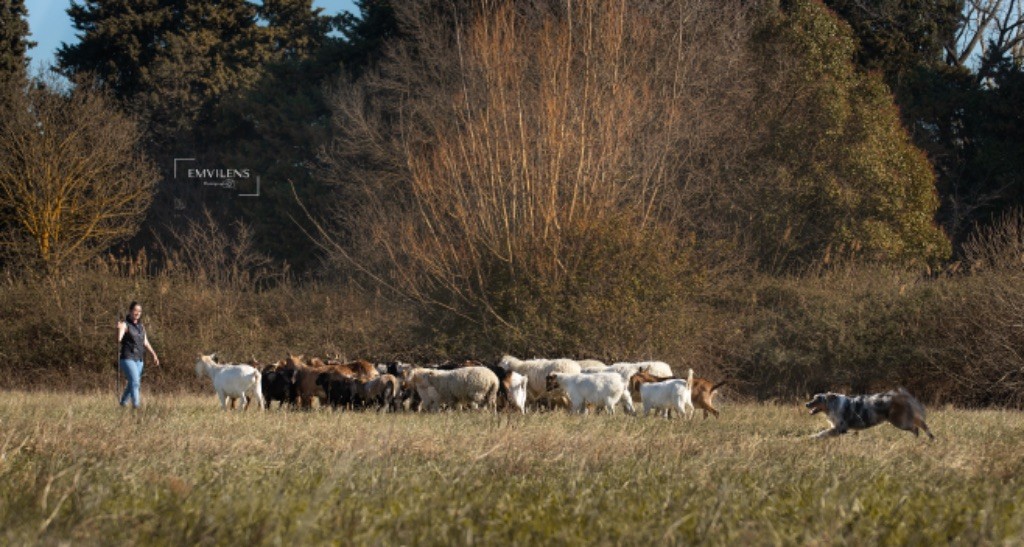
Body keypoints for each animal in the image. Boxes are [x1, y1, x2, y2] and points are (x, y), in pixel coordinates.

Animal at [806, 391, 937, 442]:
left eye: (818, 399)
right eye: (813, 397)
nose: (806, 404)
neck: (833, 404)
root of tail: (901, 396)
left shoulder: (840, 428)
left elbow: (822, 433)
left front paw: (811, 437)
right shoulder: (839, 428)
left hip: (900, 421)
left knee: (916, 428)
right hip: (904, 418)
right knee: (921, 424)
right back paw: (929, 438)